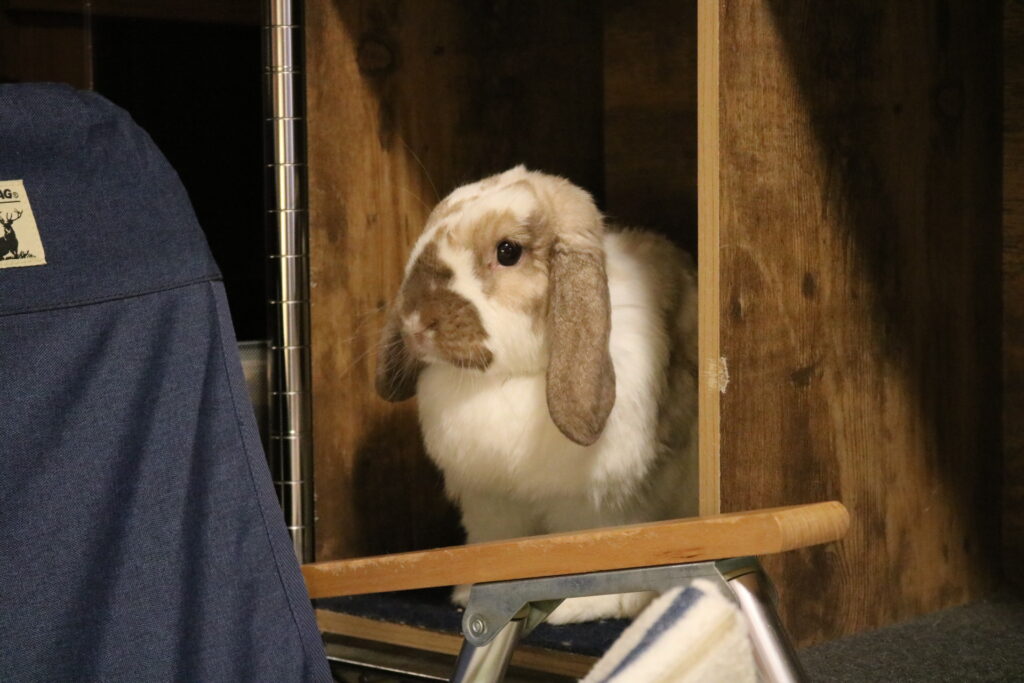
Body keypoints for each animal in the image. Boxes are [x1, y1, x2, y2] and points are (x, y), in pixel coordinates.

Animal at [375, 166, 698, 623]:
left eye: (508, 251)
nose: (417, 322)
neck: (508, 378)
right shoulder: (492, 505)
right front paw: (469, 594)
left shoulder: (595, 505)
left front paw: (581, 606)